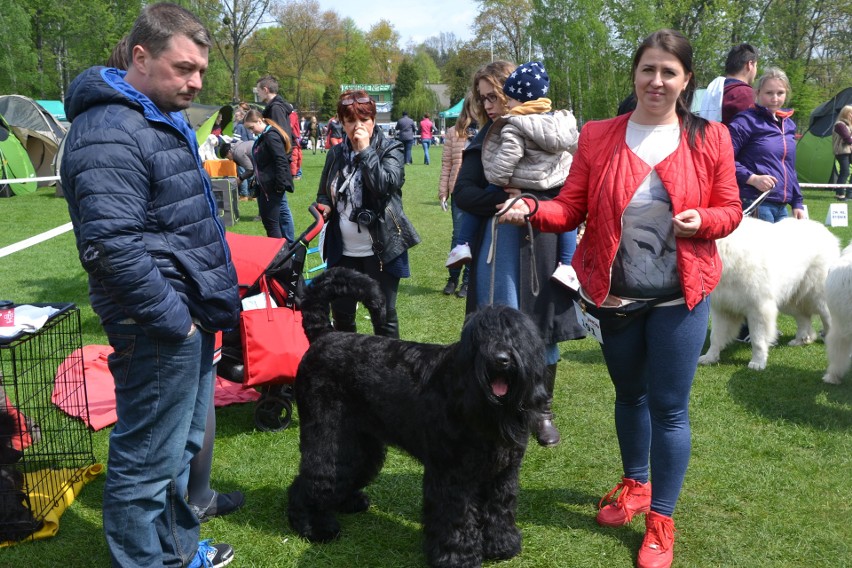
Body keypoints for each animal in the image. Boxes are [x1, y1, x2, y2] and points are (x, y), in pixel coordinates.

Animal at [290, 268, 548, 568]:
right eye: (481, 337)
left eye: (516, 337)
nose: (501, 359)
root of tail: (324, 335)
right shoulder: (452, 474)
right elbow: (456, 519)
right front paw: (456, 557)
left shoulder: (503, 473)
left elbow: (500, 508)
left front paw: (502, 545)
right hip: (327, 437)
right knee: (314, 477)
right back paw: (314, 526)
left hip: (360, 443)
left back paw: (348, 503)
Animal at [700, 215, 840, 370]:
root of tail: (825, 231)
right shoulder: (722, 308)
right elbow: (715, 336)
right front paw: (710, 357)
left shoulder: (758, 308)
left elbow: (757, 339)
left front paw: (757, 362)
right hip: (789, 300)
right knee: (804, 318)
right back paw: (801, 340)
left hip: (819, 299)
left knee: (828, 320)